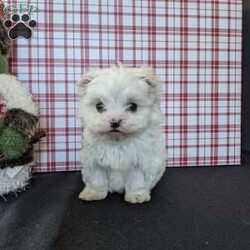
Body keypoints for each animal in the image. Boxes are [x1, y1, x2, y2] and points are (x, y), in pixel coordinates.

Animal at [76, 64, 166, 203]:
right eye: (99, 106)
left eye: (133, 106)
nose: (115, 121)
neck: (117, 142)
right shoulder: (93, 161)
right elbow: (97, 178)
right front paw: (94, 193)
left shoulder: (142, 161)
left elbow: (137, 180)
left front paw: (136, 195)